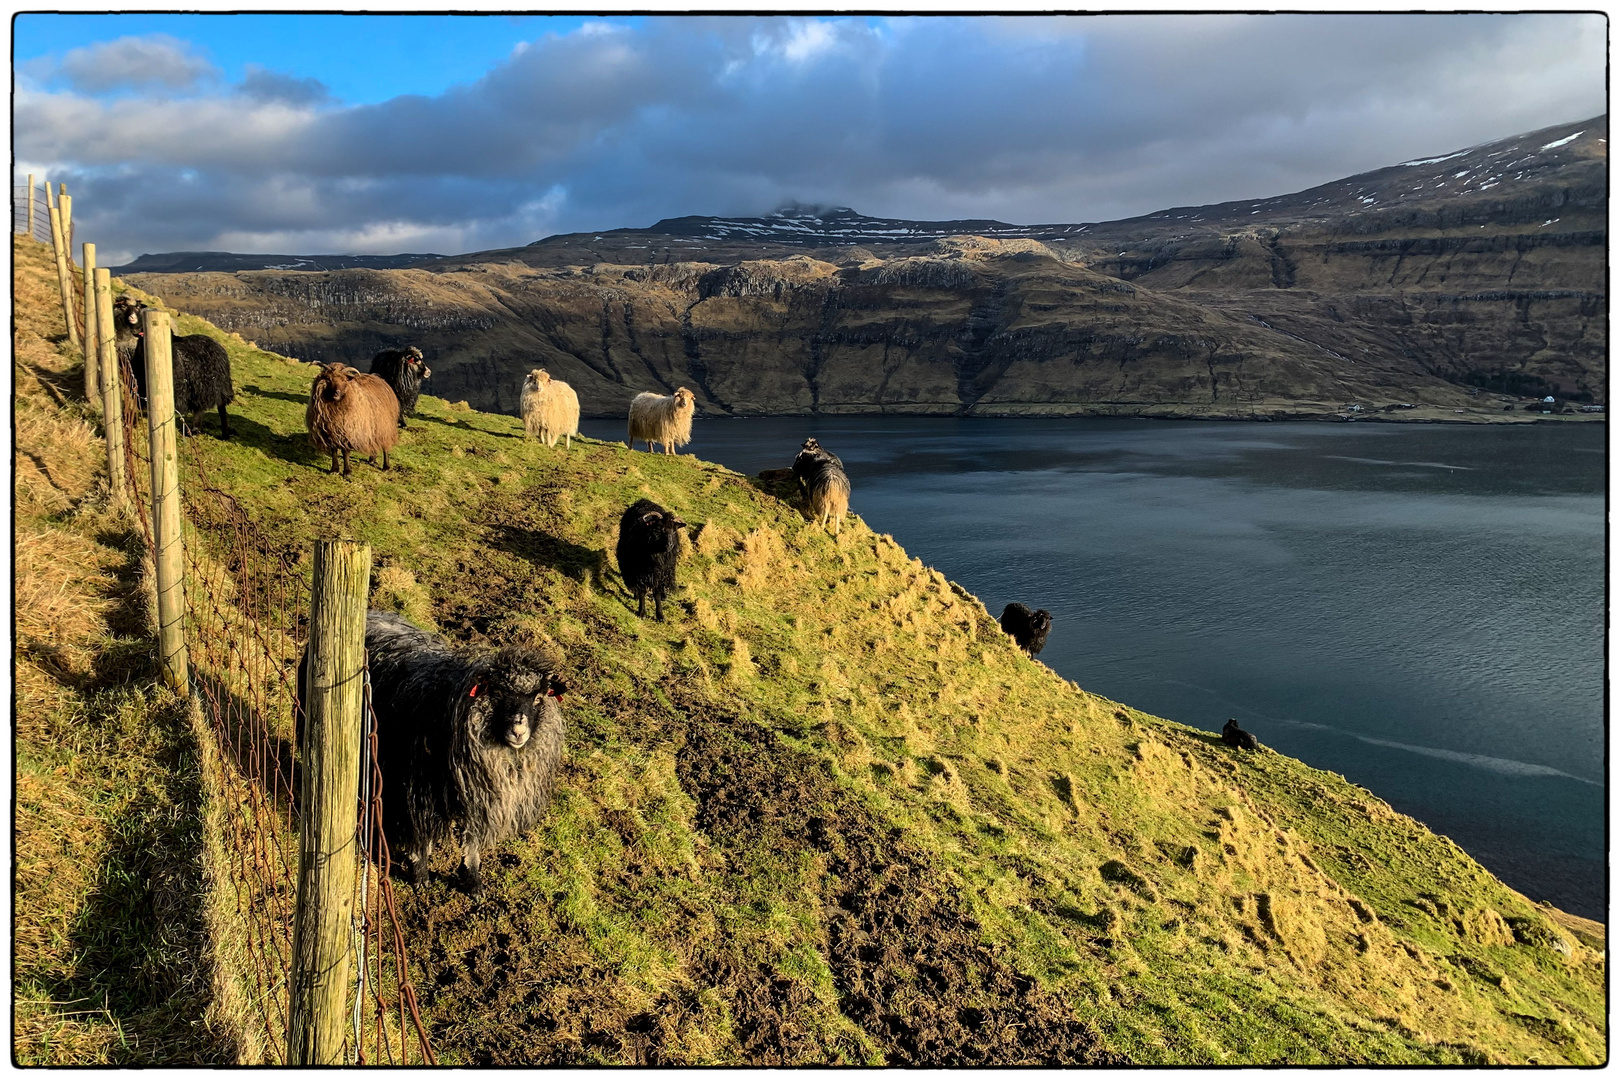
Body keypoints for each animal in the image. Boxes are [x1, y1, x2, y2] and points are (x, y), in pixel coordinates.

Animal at [112, 297, 234, 437]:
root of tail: (215, 342)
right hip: (199, 386)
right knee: (199, 407)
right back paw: (194, 430)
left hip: (218, 385)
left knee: (221, 408)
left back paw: (223, 434)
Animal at [301, 612, 573, 893]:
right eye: (497, 693)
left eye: (538, 699)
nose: (518, 731)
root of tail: (373, 613)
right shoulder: (416, 785)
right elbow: (419, 832)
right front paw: (420, 875)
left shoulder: (474, 792)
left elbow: (471, 838)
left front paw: (472, 879)